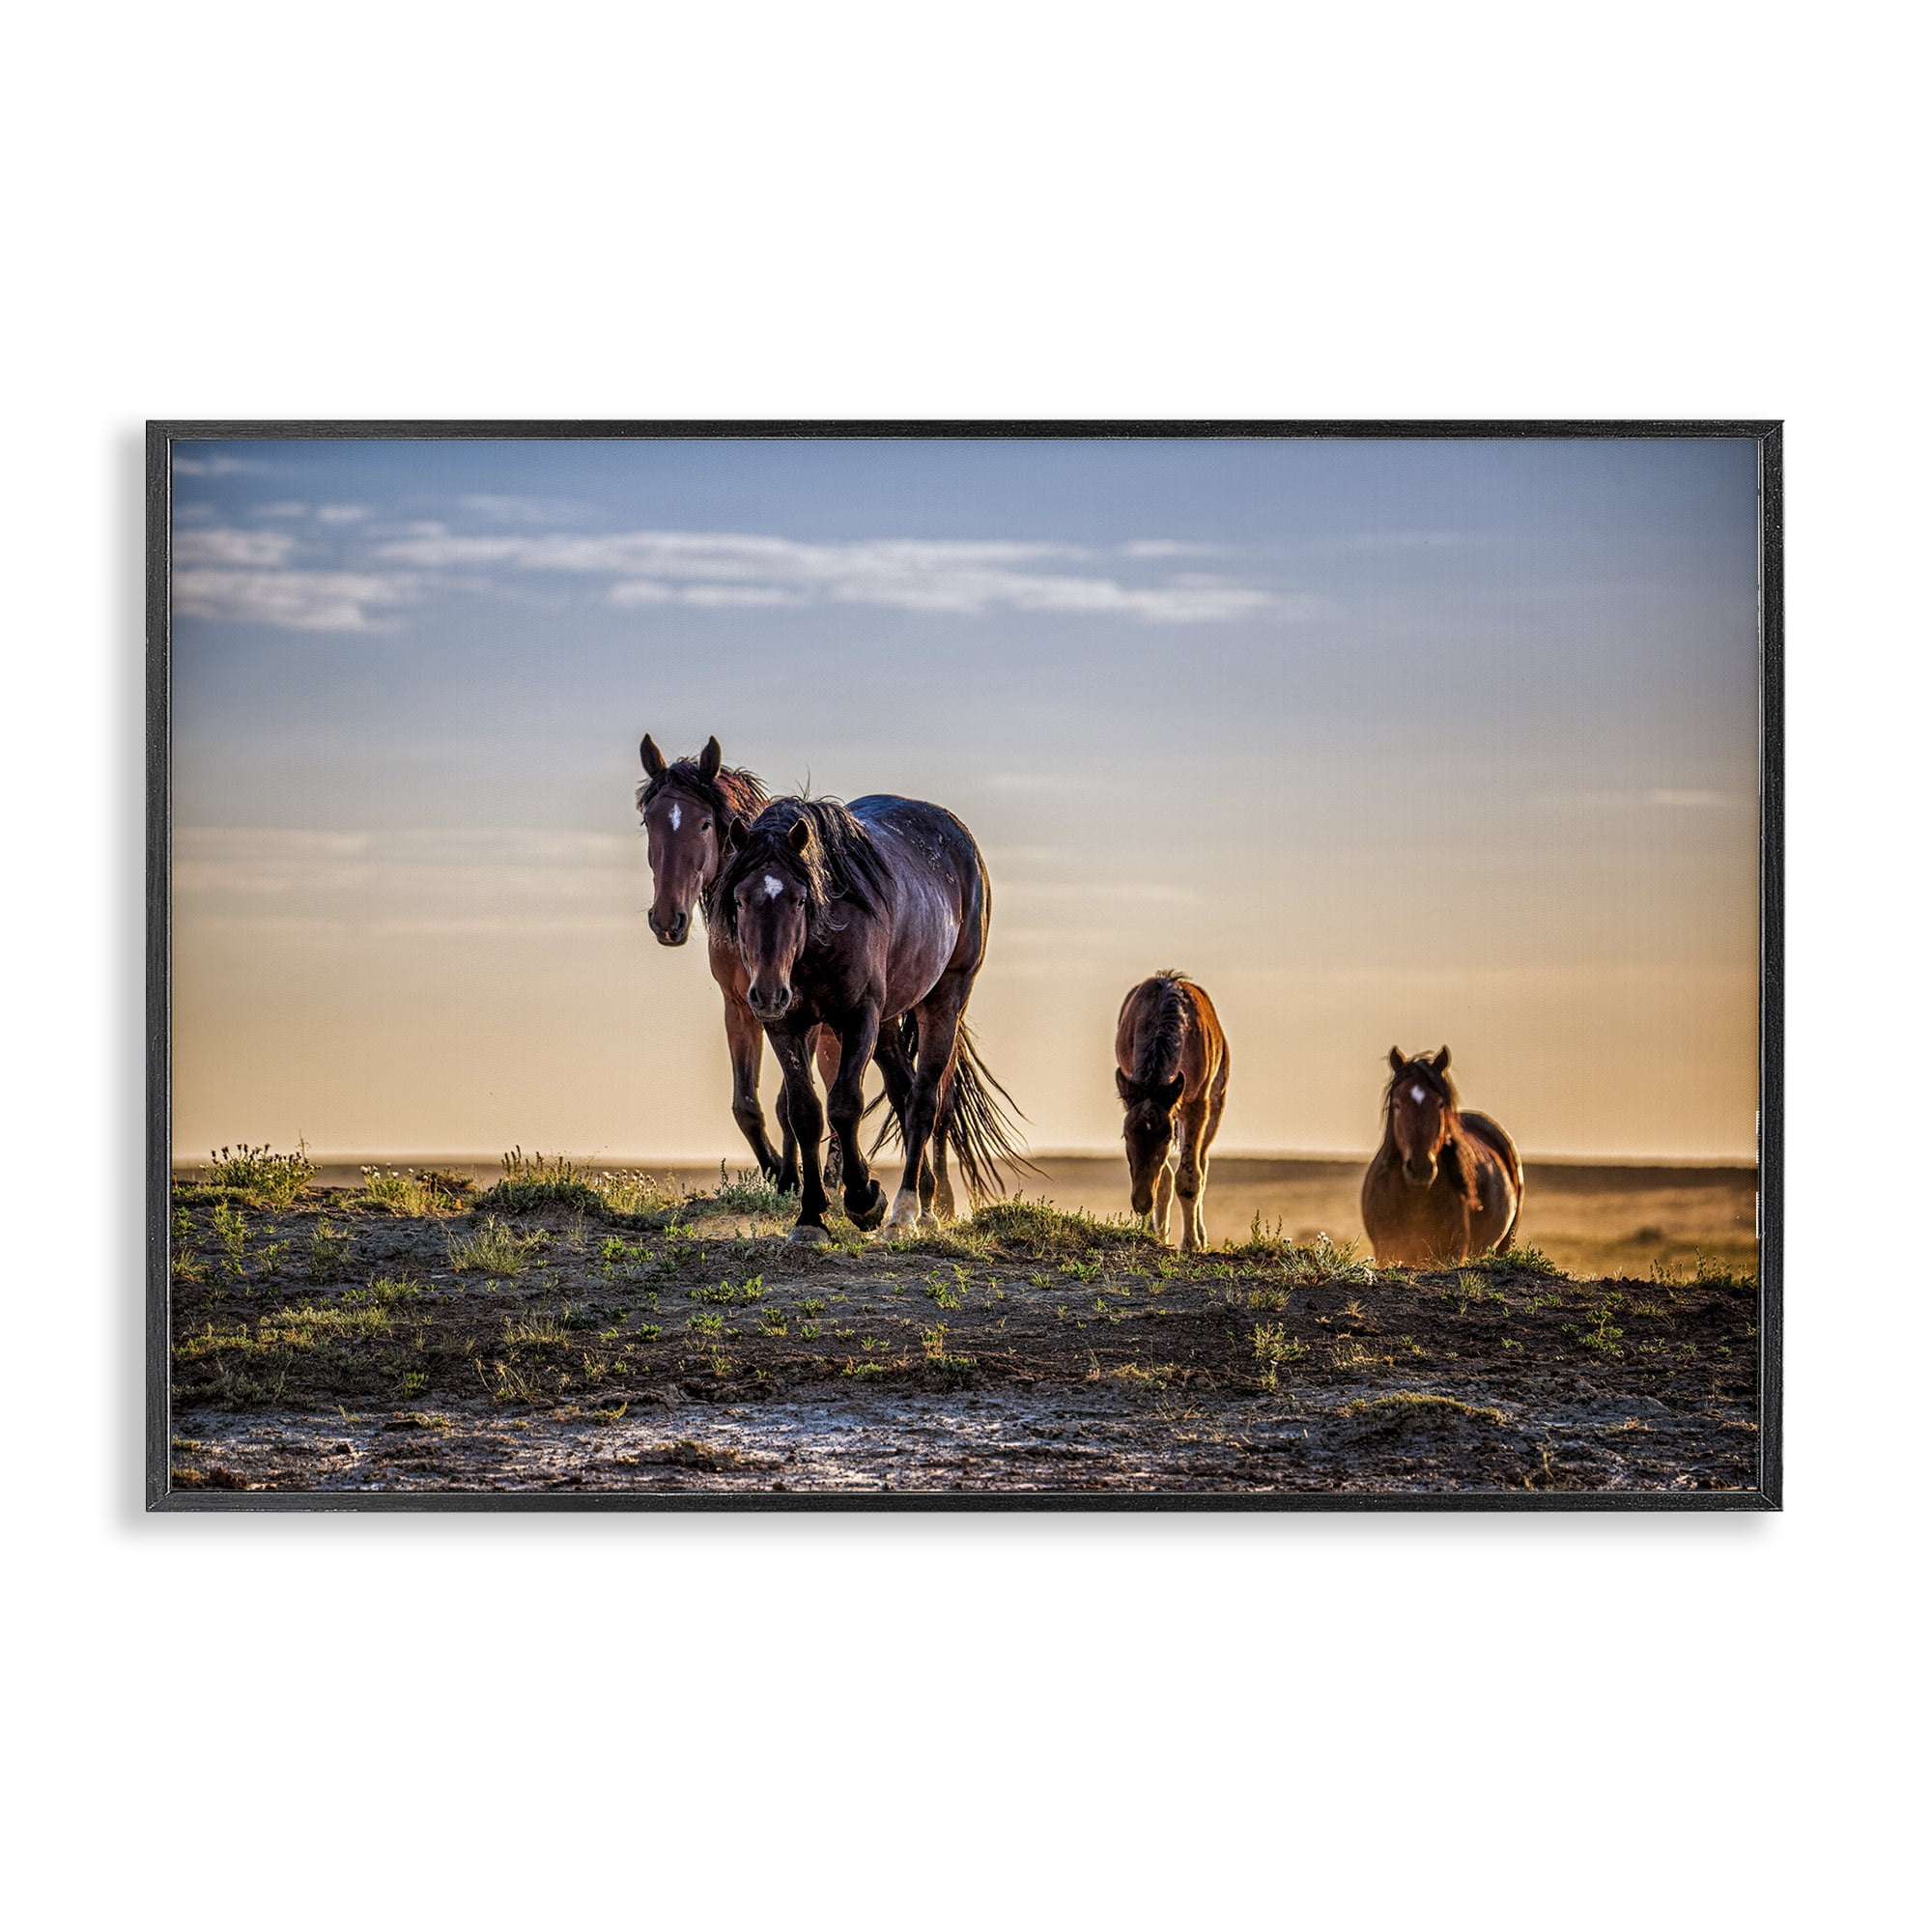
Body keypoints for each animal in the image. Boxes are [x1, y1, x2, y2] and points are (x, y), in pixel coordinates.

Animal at [715, 793, 1028, 1243]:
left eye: (800, 899)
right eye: (740, 900)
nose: (768, 993)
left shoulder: (858, 1016)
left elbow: (845, 1104)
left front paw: (864, 1200)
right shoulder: (785, 1025)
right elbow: (805, 1112)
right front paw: (810, 1217)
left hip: (944, 1000)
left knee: (923, 1101)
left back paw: (905, 1212)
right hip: (886, 1024)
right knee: (903, 1091)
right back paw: (925, 1203)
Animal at [1114, 971, 1230, 1251]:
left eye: (1166, 1137)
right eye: (1126, 1136)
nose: (1141, 1201)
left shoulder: (1197, 1103)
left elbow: (1189, 1177)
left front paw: (1190, 1243)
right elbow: (1165, 1177)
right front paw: (1152, 1232)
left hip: (1215, 1104)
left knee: (1202, 1164)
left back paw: (1201, 1237)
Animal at [1360, 1047, 1523, 1267]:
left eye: (1439, 1104)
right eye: (1397, 1103)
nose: (1420, 1168)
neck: (1416, 1199)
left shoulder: (1450, 1255)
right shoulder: (1385, 1252)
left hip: (1504, 1243)